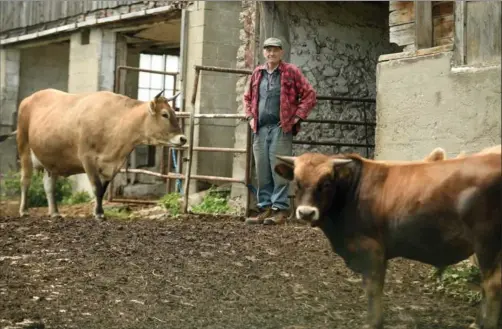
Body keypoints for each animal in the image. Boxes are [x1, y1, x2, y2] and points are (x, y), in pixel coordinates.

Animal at [0, 88, 186, 219]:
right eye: (165, 114)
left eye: (174, 113)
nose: (183, 138)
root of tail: (29, 98)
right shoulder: (87, 158)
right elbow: (96, 187)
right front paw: (98, 213)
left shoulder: (112, 165)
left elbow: (102, 189)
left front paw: (99, 210)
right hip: (24, 148)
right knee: (25, 181)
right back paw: (24, 210)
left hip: (52, 159)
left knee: (49, 185)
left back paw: (55, 212)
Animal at [274, 151, 502, 328]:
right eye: (297, 182)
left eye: (327, 183)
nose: (306, 212)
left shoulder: (371, 250)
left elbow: (372, 288)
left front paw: (373, 323)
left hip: (487, 243)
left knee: (492, 284)